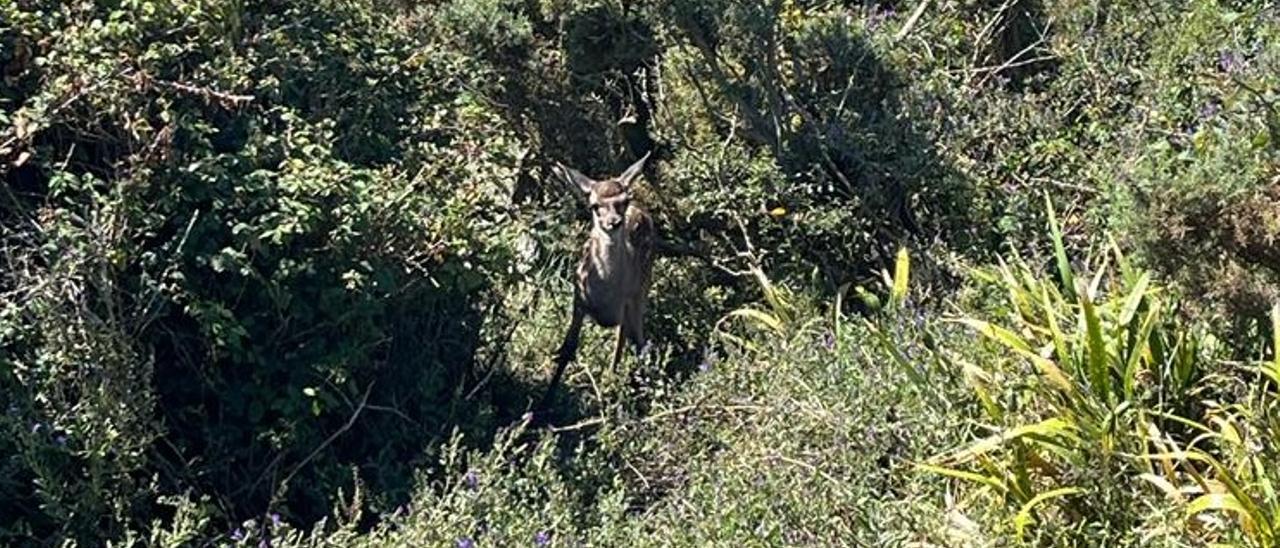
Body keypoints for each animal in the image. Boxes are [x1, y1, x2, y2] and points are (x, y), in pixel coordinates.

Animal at [542, 151, 660, 409]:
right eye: (595, 206)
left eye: (623, 201)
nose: (614, 222)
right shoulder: (578, 298)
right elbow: (568, 348)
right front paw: (543, 404)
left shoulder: (630, 299)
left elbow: (632, 345)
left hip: (643, 286)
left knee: (631, 338)